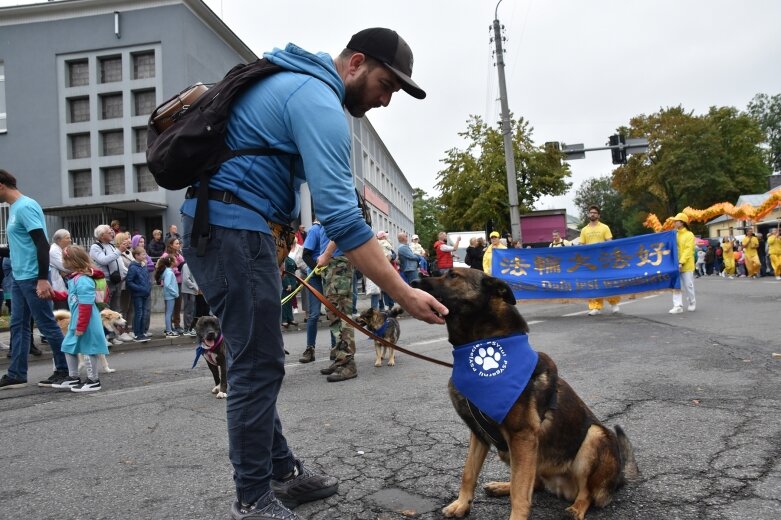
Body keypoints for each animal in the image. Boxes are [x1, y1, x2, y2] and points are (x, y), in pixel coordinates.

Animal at [412, 268, 636, 520]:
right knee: (535, 483)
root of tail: (619, 478)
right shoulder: (479, 434)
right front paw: (462, 504)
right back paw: (502, 486)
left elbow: (520, 492)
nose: (413, 282)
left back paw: (576, 509)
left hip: (594, 436)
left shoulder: (523, 437)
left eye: (453, 275)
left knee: (586, 492)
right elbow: (468, 472)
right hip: (514, 453)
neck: (480, 344)